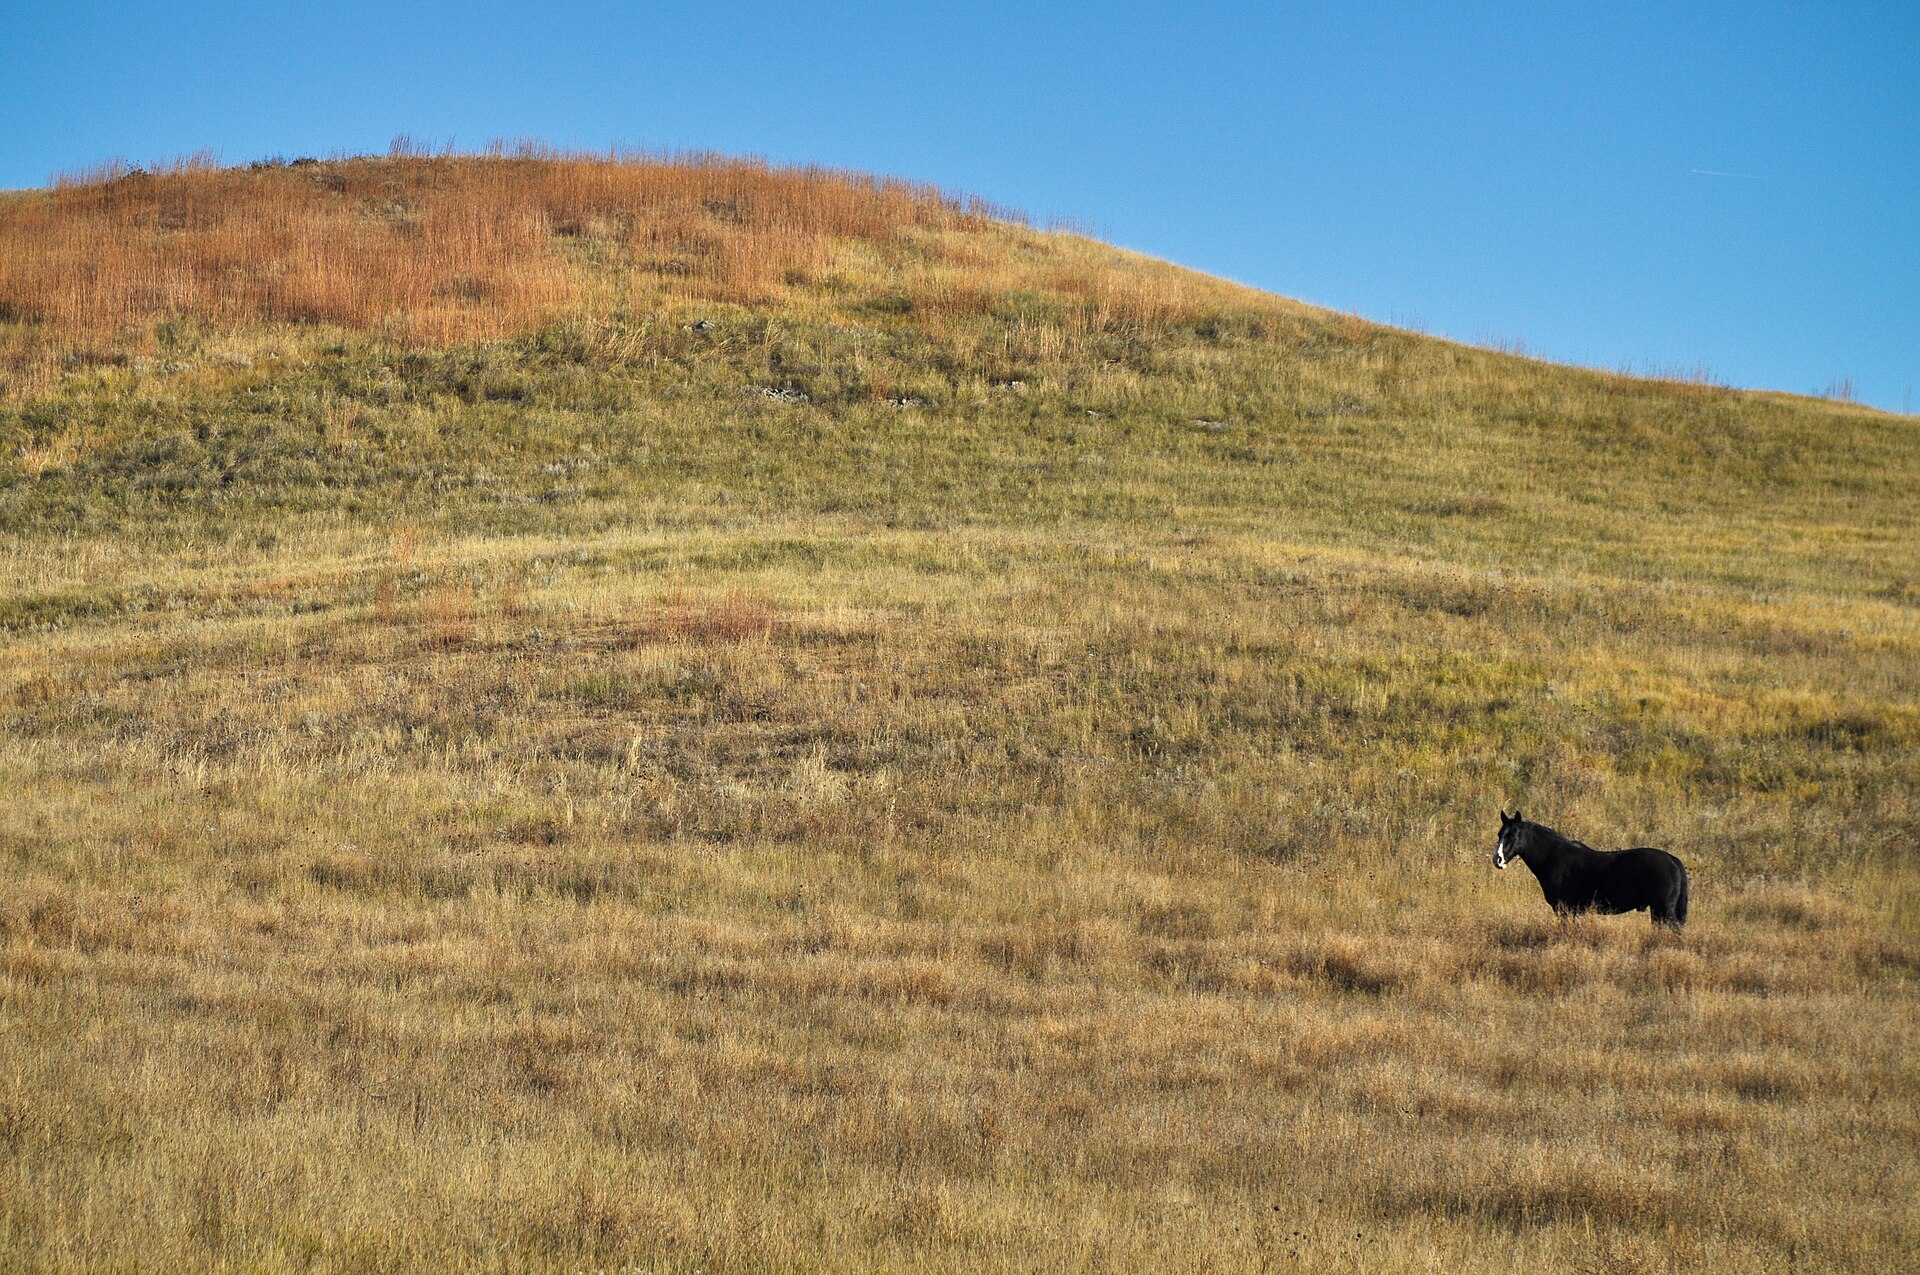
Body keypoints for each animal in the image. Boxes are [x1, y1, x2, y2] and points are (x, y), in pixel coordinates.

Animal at [1493, 811, 1689, 927]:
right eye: (1500, 834)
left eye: (1514, 834)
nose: (1498, 860)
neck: (1553, 857)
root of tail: (1673, 860)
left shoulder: (1564, 909)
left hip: (1663, 910)